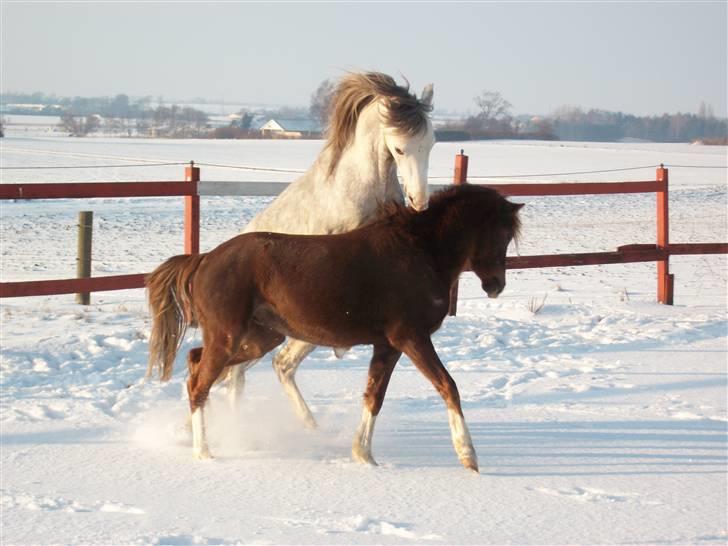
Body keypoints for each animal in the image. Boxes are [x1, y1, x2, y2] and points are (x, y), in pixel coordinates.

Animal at [146, 184, 523, 472]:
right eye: (501, 234)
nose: (496, 285)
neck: (421, 253)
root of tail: (205, 260)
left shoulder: (388, 345)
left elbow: (374, 396)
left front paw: (364, 455)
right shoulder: (411, 338)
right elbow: (448, 386)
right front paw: (468, 456)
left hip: (259, 338)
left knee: (196, 363)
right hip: (230, 338)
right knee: (199, 383)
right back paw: (204, 452)